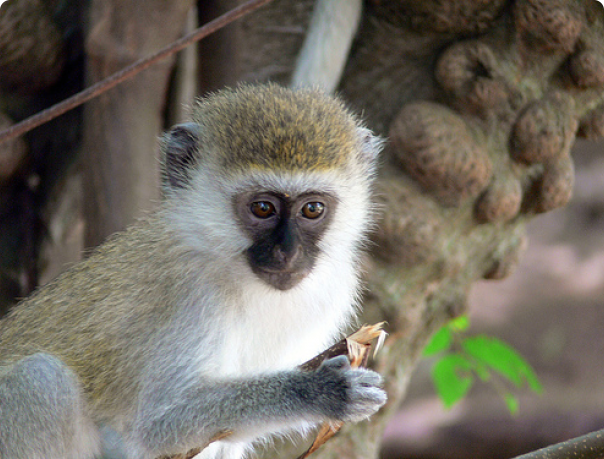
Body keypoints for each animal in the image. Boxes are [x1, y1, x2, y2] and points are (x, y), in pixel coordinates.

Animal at [0, 83, 386, 459]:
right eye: (263, 208)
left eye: (312, 209)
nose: (287, 252)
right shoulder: (192, 291)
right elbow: (157, 425)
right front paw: (315, 391)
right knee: (40, 380)